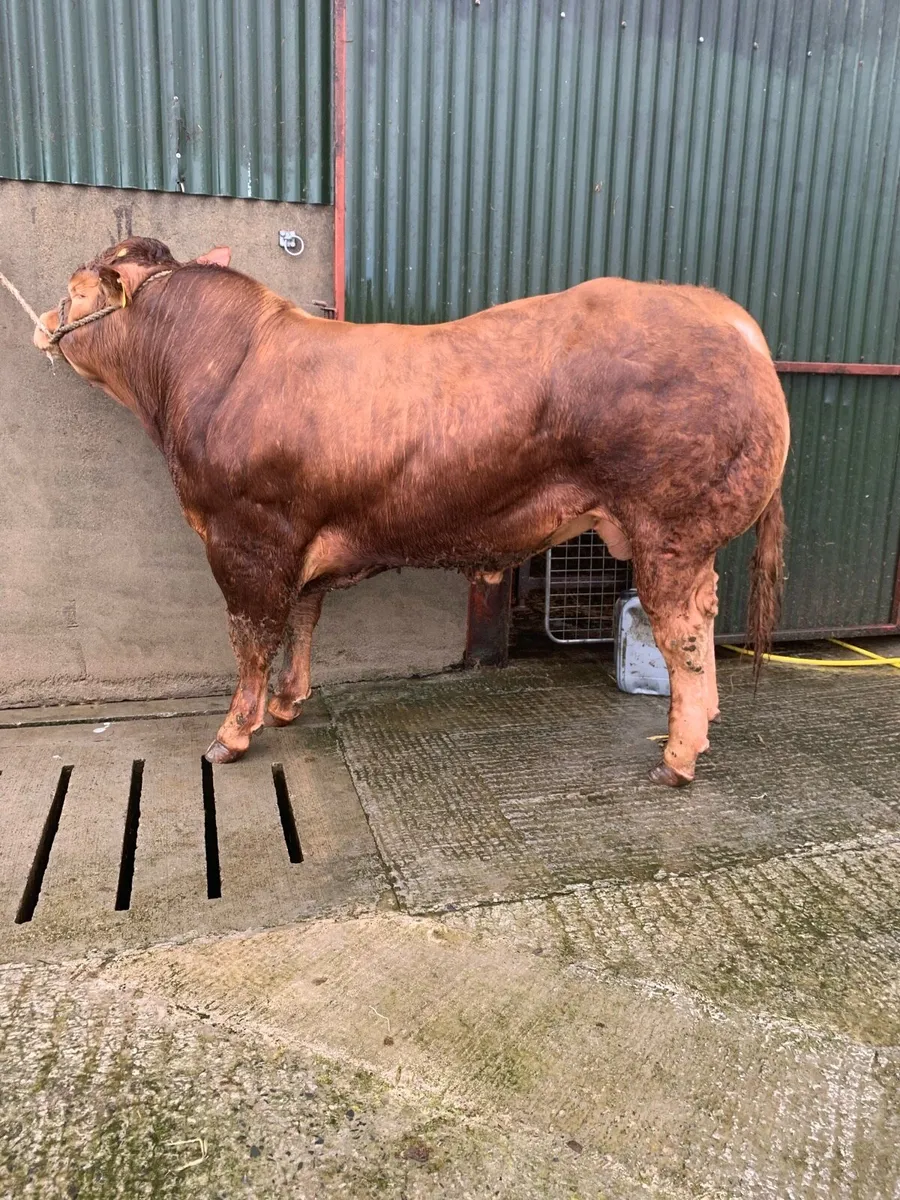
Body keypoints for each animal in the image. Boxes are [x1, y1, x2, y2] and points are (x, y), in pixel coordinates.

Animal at [33, 237, 789, 787]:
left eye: (75, 290)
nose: (42, 324)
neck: (217, 370)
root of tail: (726, 315)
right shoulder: (298, 538)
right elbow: (303, 621)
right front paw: (287, 703)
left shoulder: (245, 537)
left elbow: (251, 638)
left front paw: (231, 734)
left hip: (670, 529)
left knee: (683, 634)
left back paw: (677, 759)